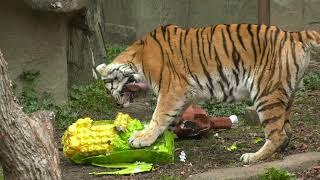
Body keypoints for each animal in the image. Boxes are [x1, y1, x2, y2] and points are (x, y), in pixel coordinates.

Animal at [95, 23, 320, 163]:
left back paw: (252, 157)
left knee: (277, 134)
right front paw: (171, 135)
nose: (117, 105)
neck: (139, 58)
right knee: (286, 131)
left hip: (266, 93)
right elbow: (172, 118)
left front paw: (142, 138)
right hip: (285, 94)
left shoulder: (171, 90)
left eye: (108, 88)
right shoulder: (183, 95)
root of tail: (294, 34)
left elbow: (158, 116)